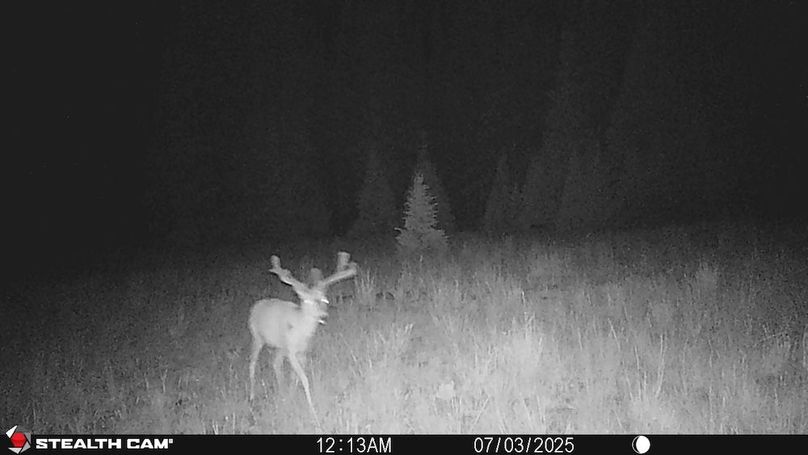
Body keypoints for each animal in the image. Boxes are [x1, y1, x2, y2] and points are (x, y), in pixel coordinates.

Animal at [248, 251, 357, 431]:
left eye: (324, 300)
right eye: (307, 301)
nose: (323, 315)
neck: (302, 331)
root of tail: (256, 305)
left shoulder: (302, 352)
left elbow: (296, 377)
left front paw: (291, 397)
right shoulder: (292, 351)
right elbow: (304, 379)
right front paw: (313, 413)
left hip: (280, 345)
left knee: (275, 363)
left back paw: (282, 392)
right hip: (257, 337)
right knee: (252, 363)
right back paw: (251, 396)